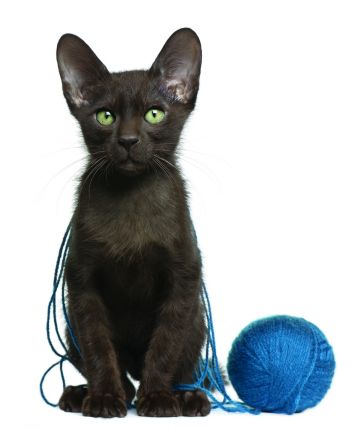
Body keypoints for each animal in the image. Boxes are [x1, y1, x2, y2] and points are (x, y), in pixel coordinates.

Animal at [56, 26, 211, 414]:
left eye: (154, 114)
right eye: (105, 116)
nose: (127, 140)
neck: (131, 196)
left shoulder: (183, 277)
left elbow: (166, 345)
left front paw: (157, 398)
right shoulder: (81, 282)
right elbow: (98, 347)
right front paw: (105, 397)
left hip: (197, 319)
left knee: (190, 364)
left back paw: (189, 396)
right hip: (68, 325)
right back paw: (84, 394)